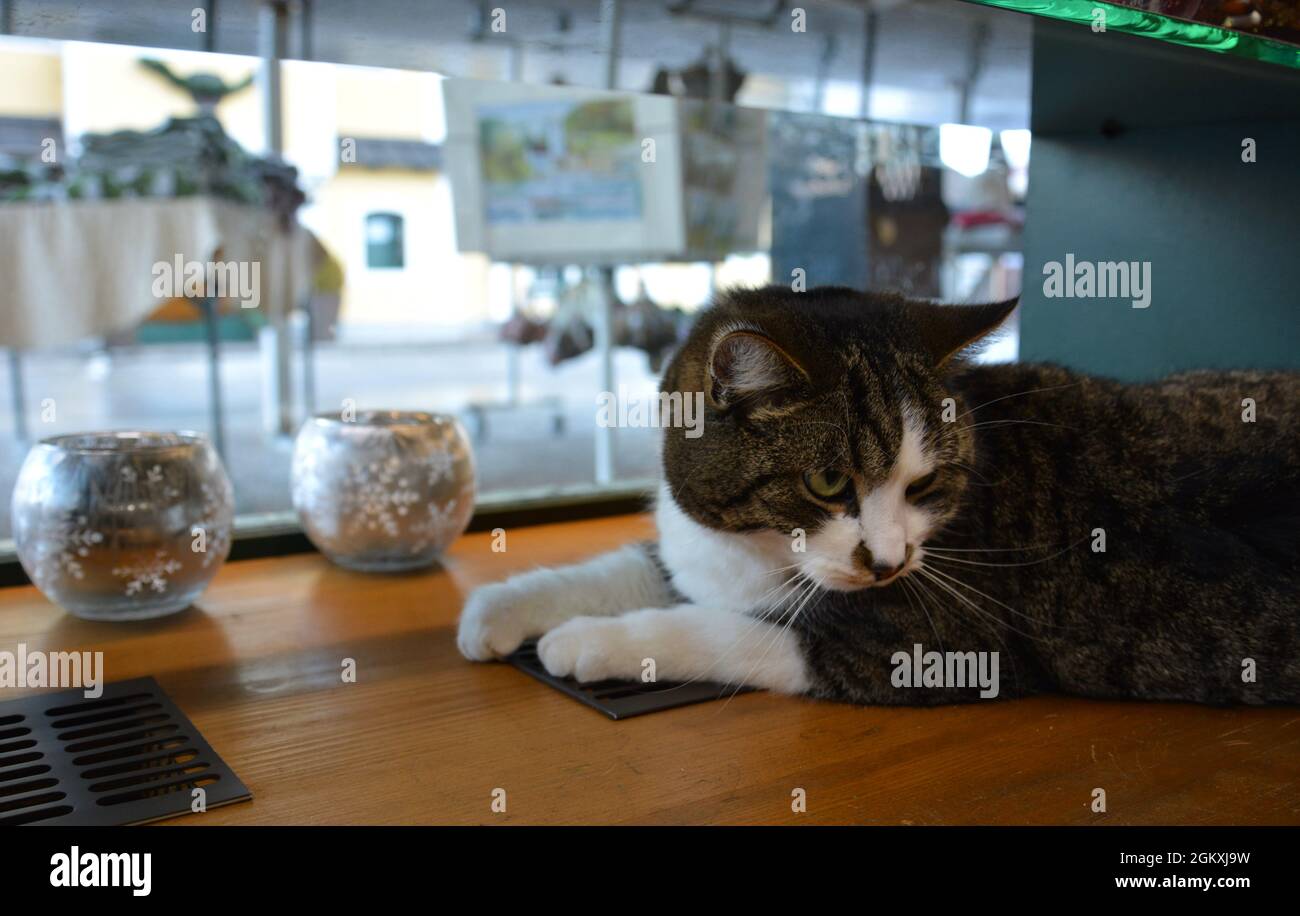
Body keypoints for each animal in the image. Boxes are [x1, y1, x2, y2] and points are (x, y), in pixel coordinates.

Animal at [457, 285, 1300, 706]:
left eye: (925, 483)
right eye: (829, 481)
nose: (889, 563)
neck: (752, 548)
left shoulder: (941, 644)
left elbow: (723, 629)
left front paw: (589, 641)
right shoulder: (694, 552)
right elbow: (623, 567)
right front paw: (497, 610)